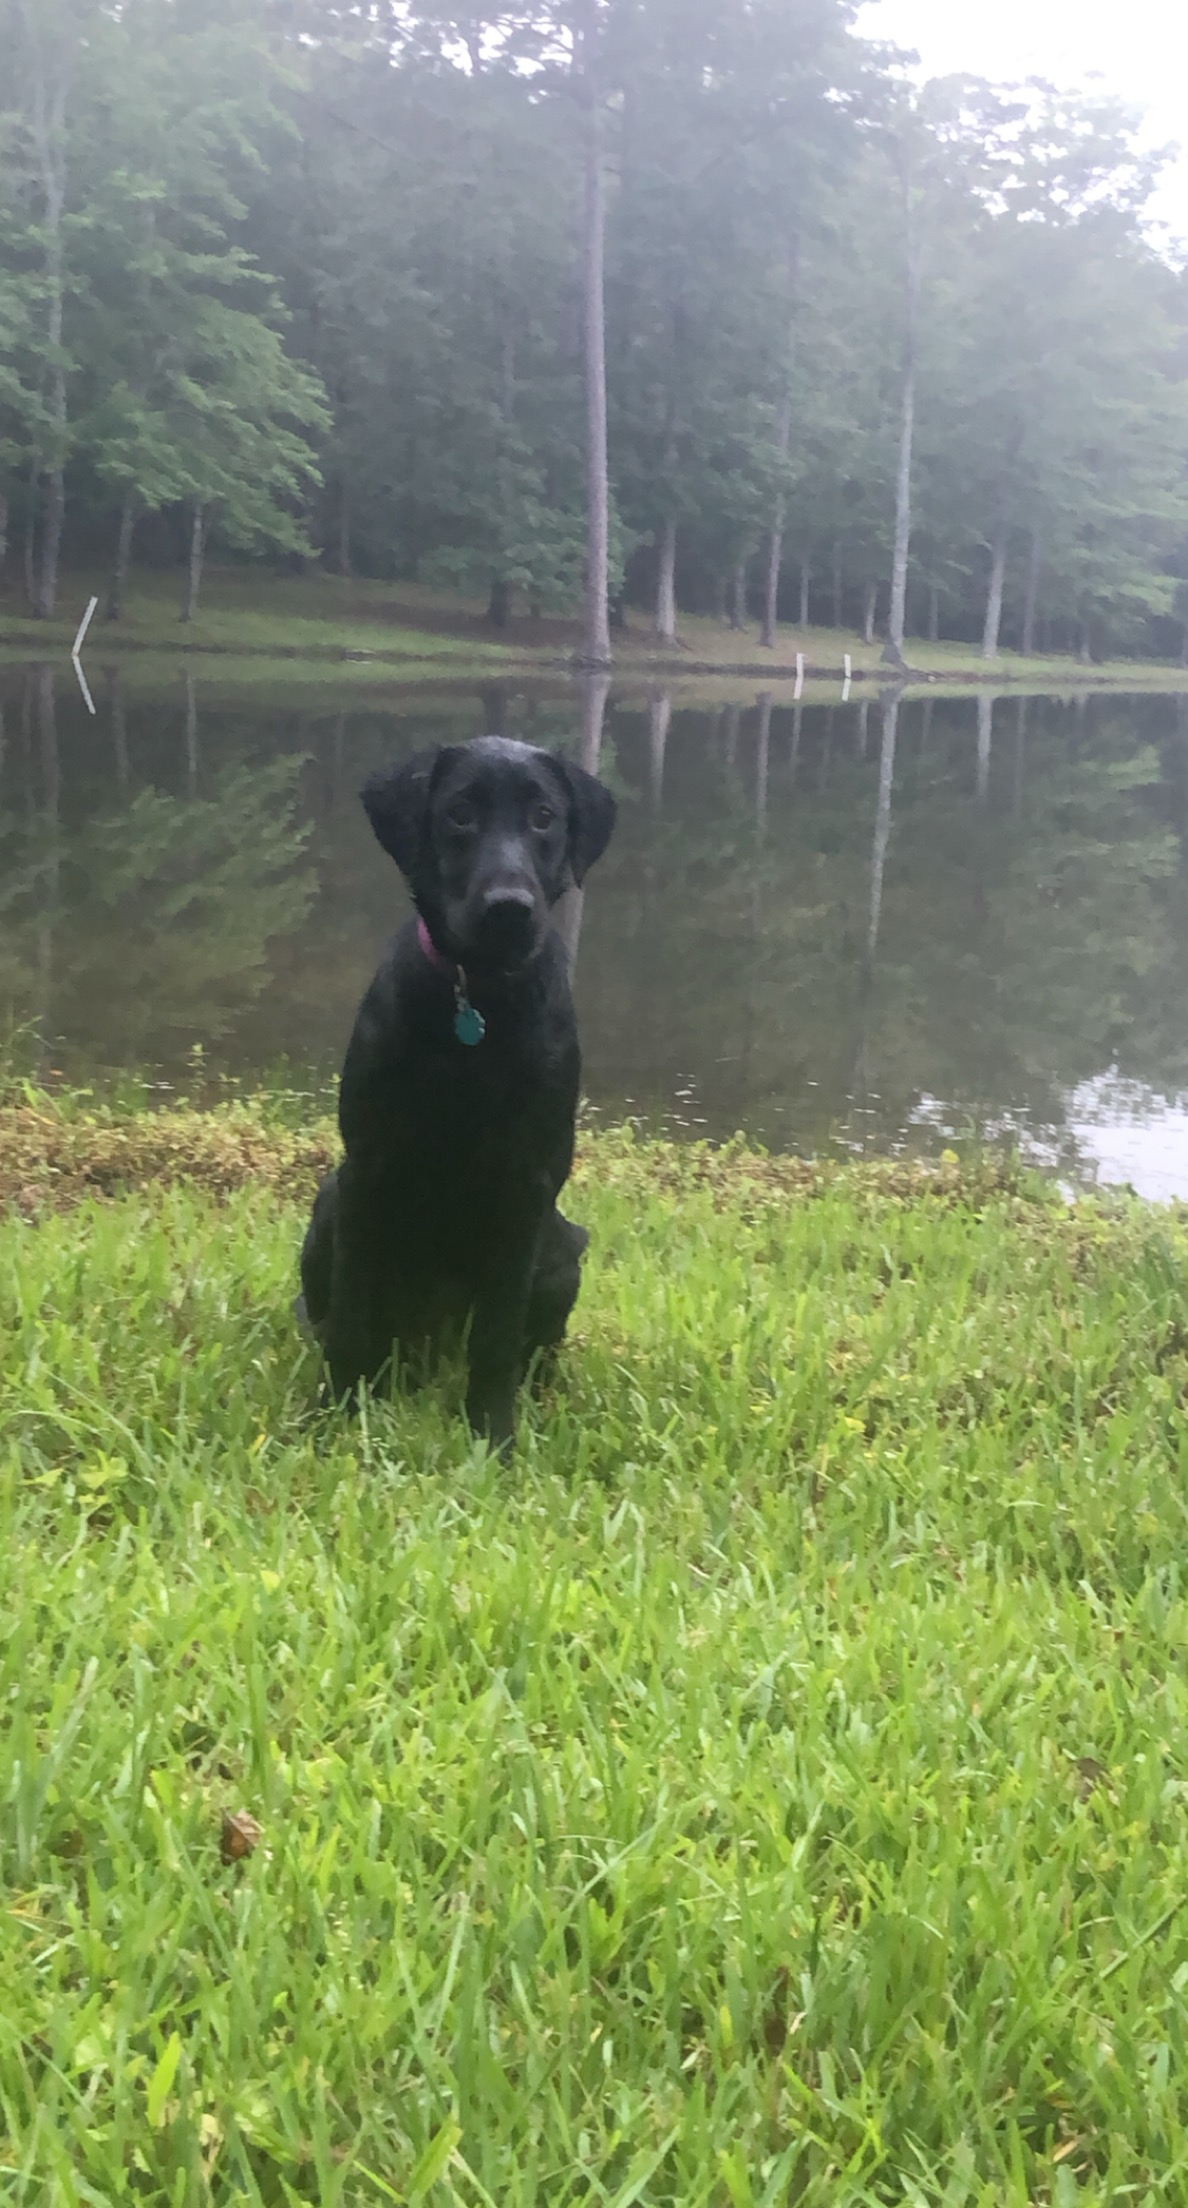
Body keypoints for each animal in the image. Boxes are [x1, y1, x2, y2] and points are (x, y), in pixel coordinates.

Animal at [295, 733, 613, 1439]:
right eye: (460, 813)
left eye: (544, 817)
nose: (509, 909)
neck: (478, 1002)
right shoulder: (368, 1167)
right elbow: (351, 1316)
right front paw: (338, 1412)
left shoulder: (527, 1186)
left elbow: (497, 1335)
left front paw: (493, 1434)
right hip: (330, 1205)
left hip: (562, 1249)